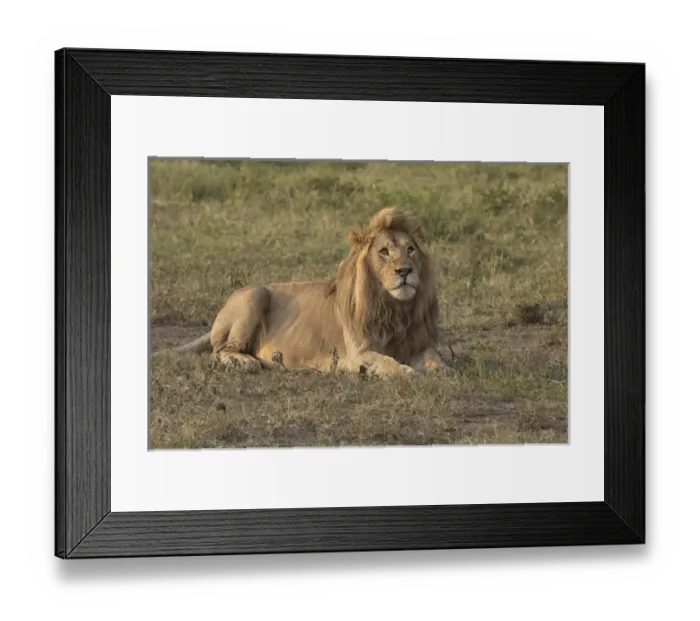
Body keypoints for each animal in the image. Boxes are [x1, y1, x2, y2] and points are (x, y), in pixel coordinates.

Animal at [160, 207, 456, 378]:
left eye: (410, 250)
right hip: (254, 294)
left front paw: (442, 369)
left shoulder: (417, 344)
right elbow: (388, 364)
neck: (393, 307)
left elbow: (435, 359)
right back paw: (245, 363)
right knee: (219, 351)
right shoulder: (357, 353)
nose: (405, 270)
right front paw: (406, 371)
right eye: (383, 252)